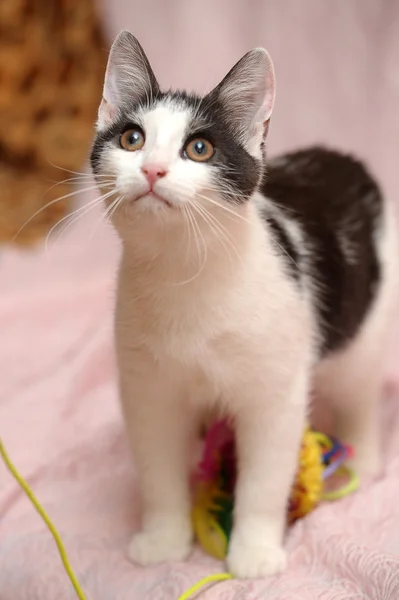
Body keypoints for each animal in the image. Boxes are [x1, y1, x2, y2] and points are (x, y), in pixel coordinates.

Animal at [91, 31, 399, 576]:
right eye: (132, 139)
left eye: (199, 148)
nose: (152, 169)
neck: (185, 276)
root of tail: (343, 158)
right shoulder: (147, 388)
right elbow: (157, 468)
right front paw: (163, 539)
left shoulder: (274, 395)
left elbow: (264, 478)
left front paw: (254, 551)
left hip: (365, 324)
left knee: (358, 389)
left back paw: (363, 460)